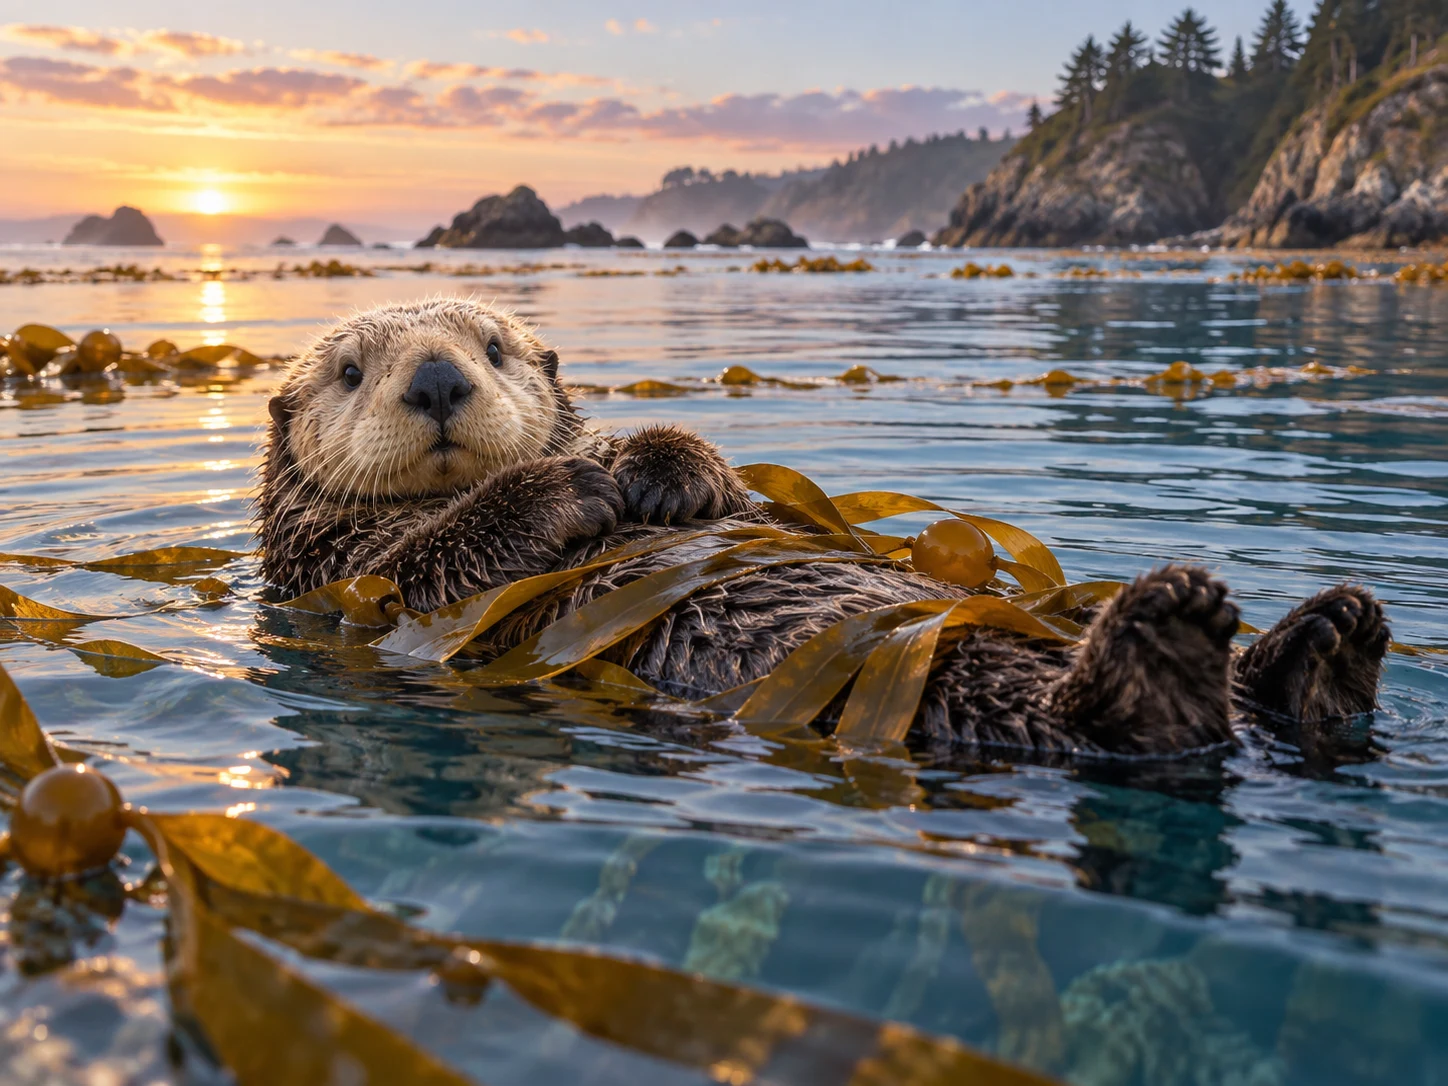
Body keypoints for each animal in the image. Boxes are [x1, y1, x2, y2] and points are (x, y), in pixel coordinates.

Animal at [258, 298, 1390, 759]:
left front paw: (658, 476)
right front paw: (565, 486)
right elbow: (431, 559)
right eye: (351, 371)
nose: (438, 379)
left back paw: (1325, 637)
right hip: (974, 692)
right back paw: (1177, 634)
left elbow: (708, 473)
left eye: (492, 348)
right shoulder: (340, 576)